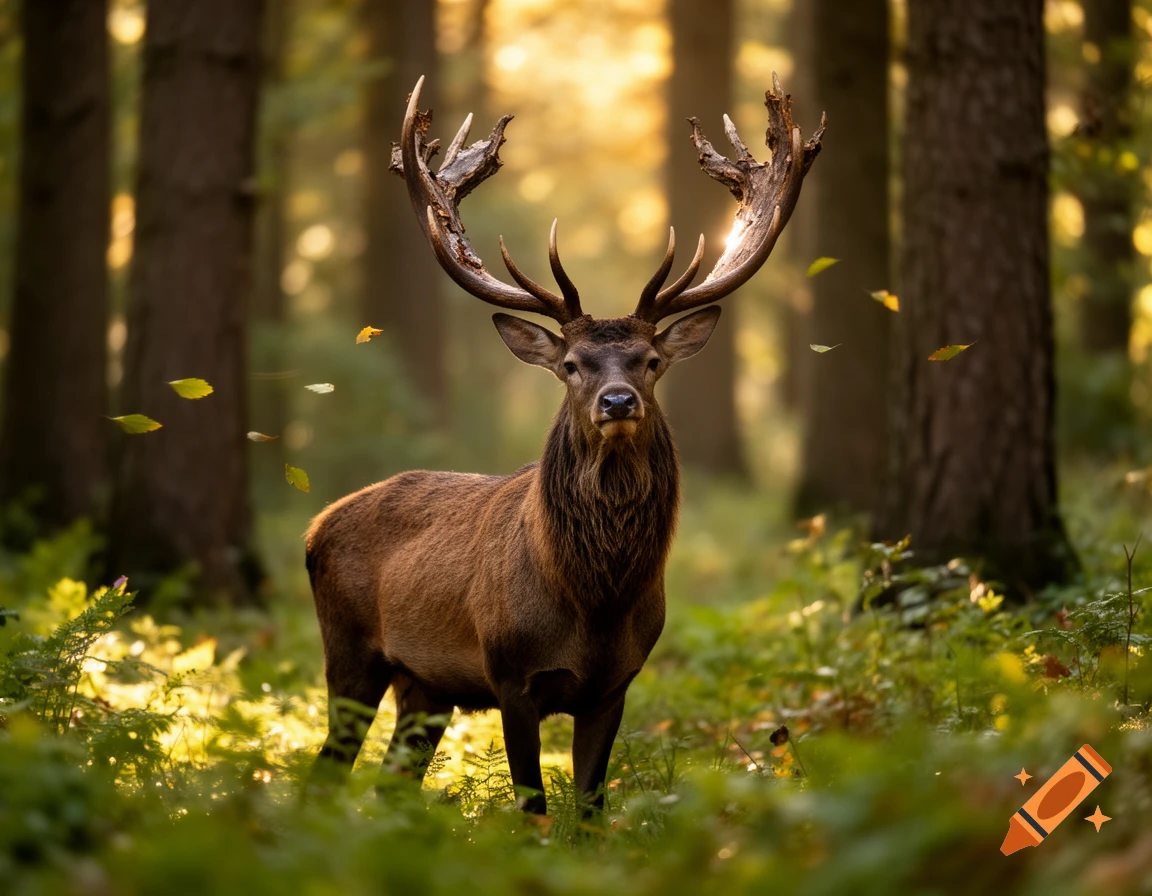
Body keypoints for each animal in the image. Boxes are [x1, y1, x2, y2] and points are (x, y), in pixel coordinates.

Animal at [305, 74, 823, 815]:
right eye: (573, 364)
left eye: (650, 361)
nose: (618, 402)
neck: (594, 605)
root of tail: (315, 526)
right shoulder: (510, 675)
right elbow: (533, 809)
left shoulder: (616, 684)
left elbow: (591, 807)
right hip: (349, 650)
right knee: (326, 766)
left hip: (424, 684)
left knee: (389, 779)